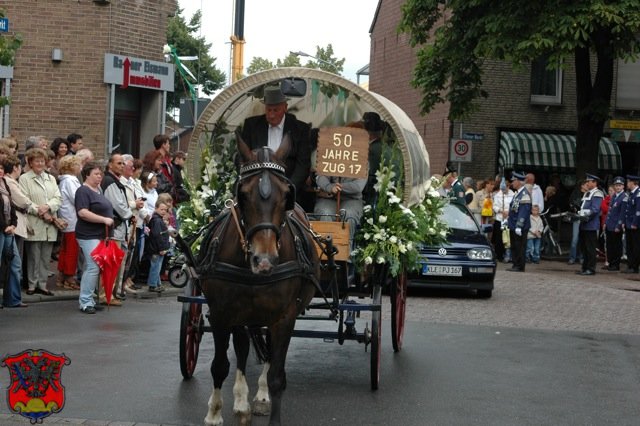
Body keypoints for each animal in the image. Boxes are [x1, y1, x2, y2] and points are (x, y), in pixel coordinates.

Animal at [196, 132, 318, 422]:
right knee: (242, 346)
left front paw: (267, 402)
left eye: (286, 194)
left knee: (266, 351)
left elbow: (276, 376)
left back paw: (259, 397)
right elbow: (220, 365)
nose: (264, 261)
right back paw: (241, 401)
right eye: (242, 194)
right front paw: (214, 414)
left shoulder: (284, 317)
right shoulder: (220, 313)